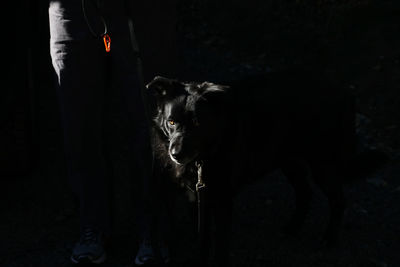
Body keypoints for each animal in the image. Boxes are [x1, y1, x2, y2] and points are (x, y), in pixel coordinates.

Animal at [146, 72, 384, 266]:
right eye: (172, 122)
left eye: (197, 124)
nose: (175, 154)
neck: (203, 157)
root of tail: (344, 92)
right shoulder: (196, 200)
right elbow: (202, 240)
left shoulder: (222, 200)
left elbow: (220, 243)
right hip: (289, 159)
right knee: (305, 192)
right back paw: (292, 228)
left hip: (322, 164)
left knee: (338, 200)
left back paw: (329, 238)